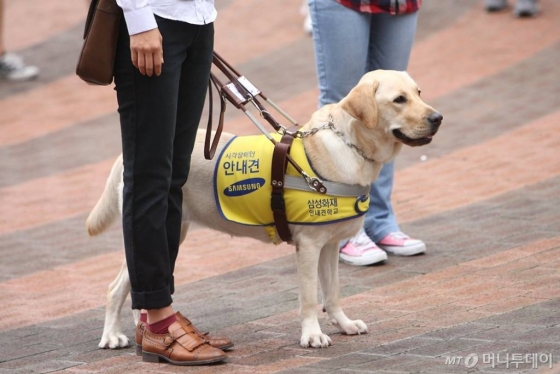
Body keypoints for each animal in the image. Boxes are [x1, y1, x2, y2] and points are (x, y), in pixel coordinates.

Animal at [88, 71, 442, 350]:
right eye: (399, 100)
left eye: (419, 93)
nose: (437, 118)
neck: (350, 145)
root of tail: (127, 158)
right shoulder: (308, 247)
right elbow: (310, 297)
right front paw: (312, 335)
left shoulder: (329, 246)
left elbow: (333, 293)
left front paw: (344, 324)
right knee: (115, 287)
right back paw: (112, 336)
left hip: (175, 231)